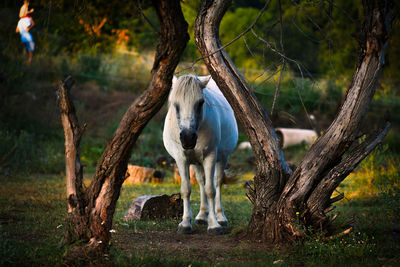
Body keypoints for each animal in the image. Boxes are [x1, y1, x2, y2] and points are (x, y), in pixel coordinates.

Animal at [162, 75, 238, 234]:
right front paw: (185, 223)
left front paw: (214, 225)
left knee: (217, 182)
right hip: (196, 162)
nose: (187, 137)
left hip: (222, 158)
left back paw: (220, 217)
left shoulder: (210, 156)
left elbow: (211, 190)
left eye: (200, 103)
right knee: (202, 181)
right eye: (175, 104)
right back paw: (202, 215)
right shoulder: (181, 159)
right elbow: (186, 189)